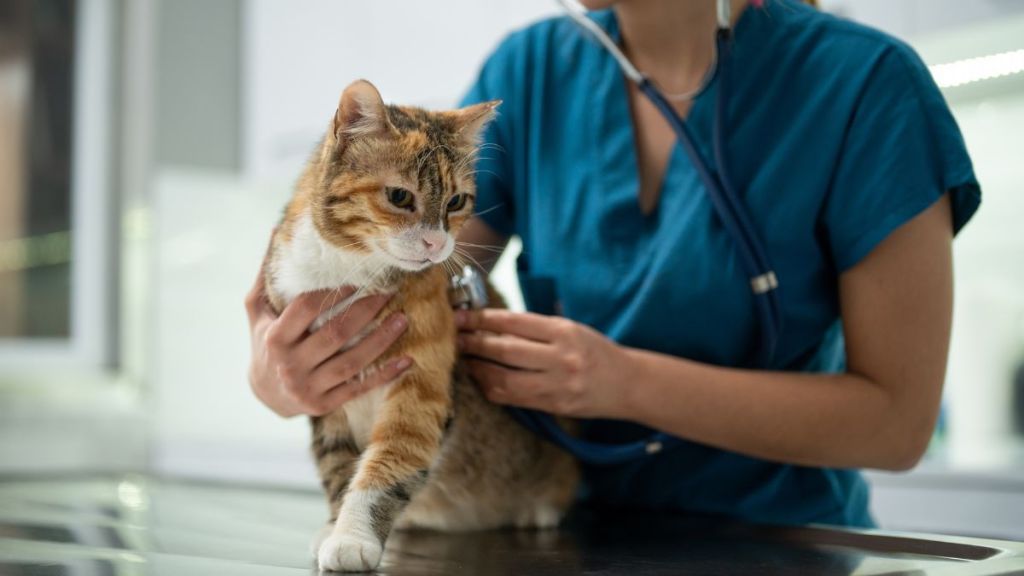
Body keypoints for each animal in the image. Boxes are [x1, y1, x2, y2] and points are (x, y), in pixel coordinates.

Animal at [262, 79, 577, 569]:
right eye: (399, 197)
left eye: (456, 201)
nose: (436, 243)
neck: (348, 275)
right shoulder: (321, 391)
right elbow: (337, 465)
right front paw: (335, 526)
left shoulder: (420, 388)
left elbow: (388, 463)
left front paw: (353, 537)